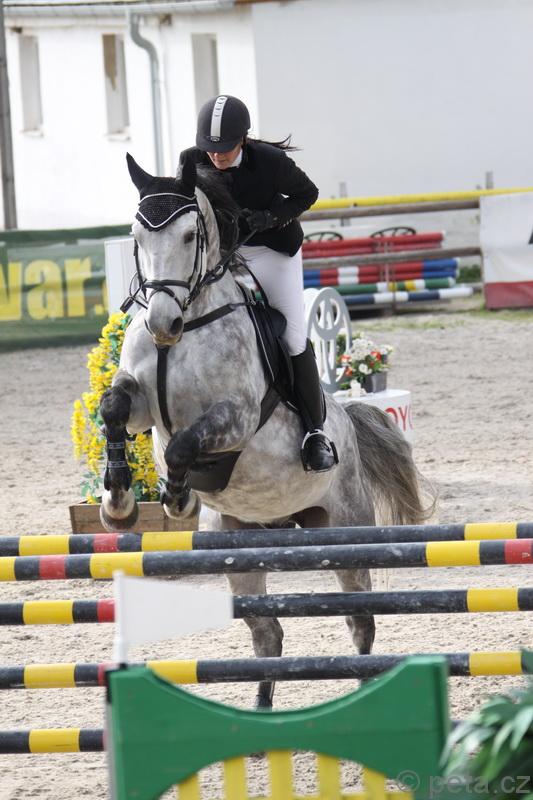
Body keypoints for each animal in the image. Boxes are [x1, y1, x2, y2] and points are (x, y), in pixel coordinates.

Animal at [100, 152, 429, 708]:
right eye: (136, 236)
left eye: (189, 236)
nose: (162, 324)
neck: (189, 324)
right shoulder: (140, 405)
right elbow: (112, 411)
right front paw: (118, 501)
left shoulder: (235, 419)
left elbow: (183, 446)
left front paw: (179, 500)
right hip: (238, 545)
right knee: (267, 632)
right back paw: (259, 713)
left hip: (343, 531)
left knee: (359, 619)